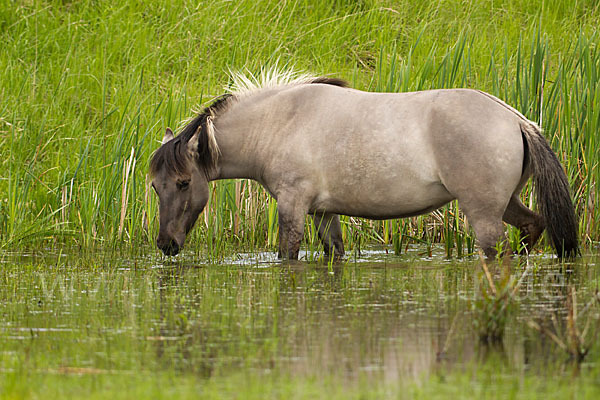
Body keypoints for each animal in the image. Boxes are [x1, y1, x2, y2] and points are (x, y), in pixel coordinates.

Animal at [148, 71, 580, 260]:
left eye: (184, 183)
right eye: (155, 186)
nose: (166, 244)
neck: (280, 121)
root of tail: (517, 120)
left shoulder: (293, 207)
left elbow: (288, 254)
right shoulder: (323, 213)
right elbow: (334, 253)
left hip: (483, 213)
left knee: (497, 252)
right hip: (506, 204)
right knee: (532, 227)